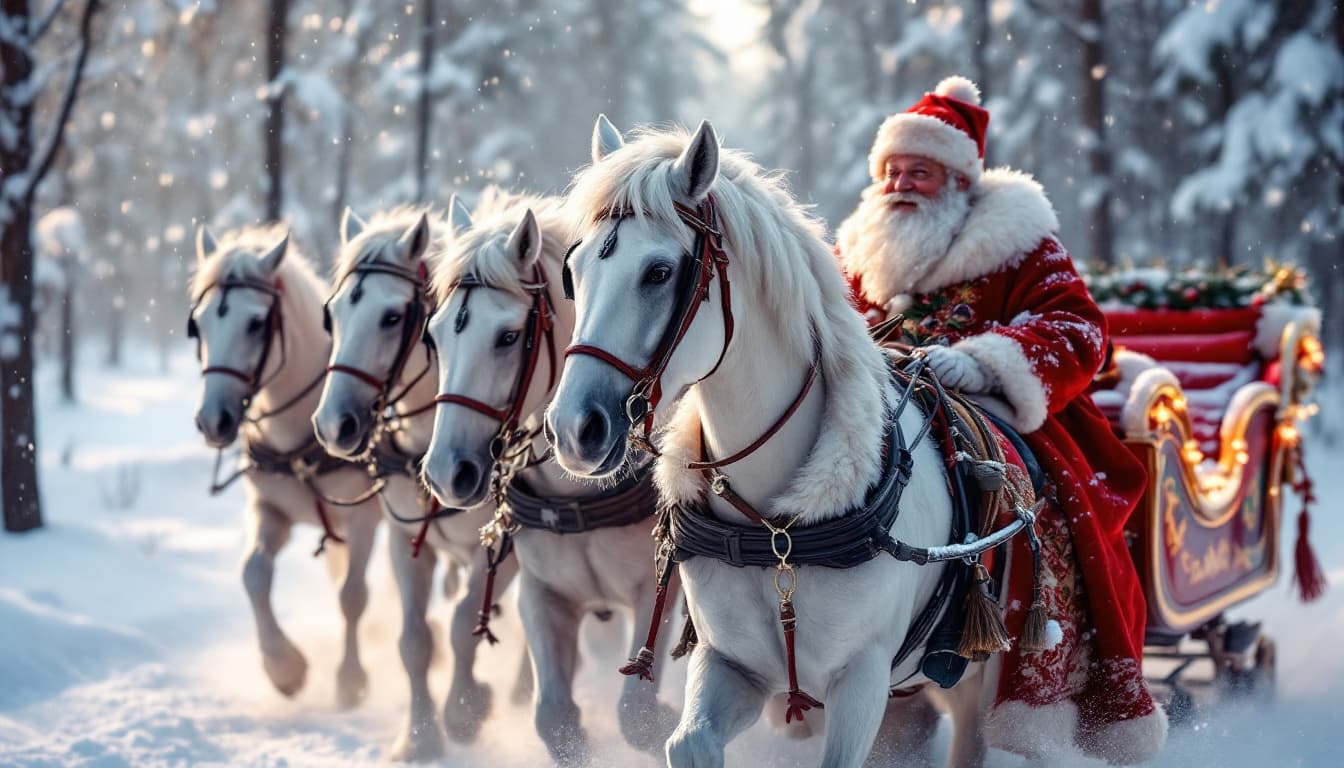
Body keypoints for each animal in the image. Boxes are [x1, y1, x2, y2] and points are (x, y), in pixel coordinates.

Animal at [187, 224, 383, 710]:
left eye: (256, 323)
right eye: (199, 324)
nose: (213, 420)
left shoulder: (365, 516)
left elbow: (353, 595)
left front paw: (350, 679)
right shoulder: (270, 510)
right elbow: (254, 573)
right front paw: (284, 667)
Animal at [310, 206, 524, 760]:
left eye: (392, 318)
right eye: (332, 315)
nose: (333, 425)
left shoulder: (506, 548)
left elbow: (463, 623)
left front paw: (466, 710)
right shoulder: (405, 539)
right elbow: (414, 640)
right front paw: (419, 736)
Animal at [420, 187, 678, 764]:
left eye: (508, 336)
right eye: (435, 337)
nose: (446, 472)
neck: (578, 492)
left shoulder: (659, 588)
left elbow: (639, 717)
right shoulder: (543, 593)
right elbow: (555, 719)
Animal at [545, 119, 1004, 768]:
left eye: (658, 272)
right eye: (574, 271)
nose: (573, 428)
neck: (774, 529)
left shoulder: (862, 678)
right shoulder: (730, 663)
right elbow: (688, 742)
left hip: (975, 675)